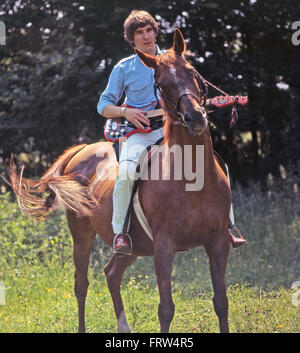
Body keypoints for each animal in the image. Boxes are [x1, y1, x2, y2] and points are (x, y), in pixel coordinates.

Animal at [9, 30, 232, 332]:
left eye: (191, 71)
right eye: (161, 84)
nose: (196, 117)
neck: (193, 179)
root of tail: (80, 152)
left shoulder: (218, 243)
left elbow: (221, 303)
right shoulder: (164, 246)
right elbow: (166, 309)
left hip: (132, 248)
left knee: (111, 274)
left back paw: (124, 327)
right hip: (82, 235)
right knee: (81, 285)